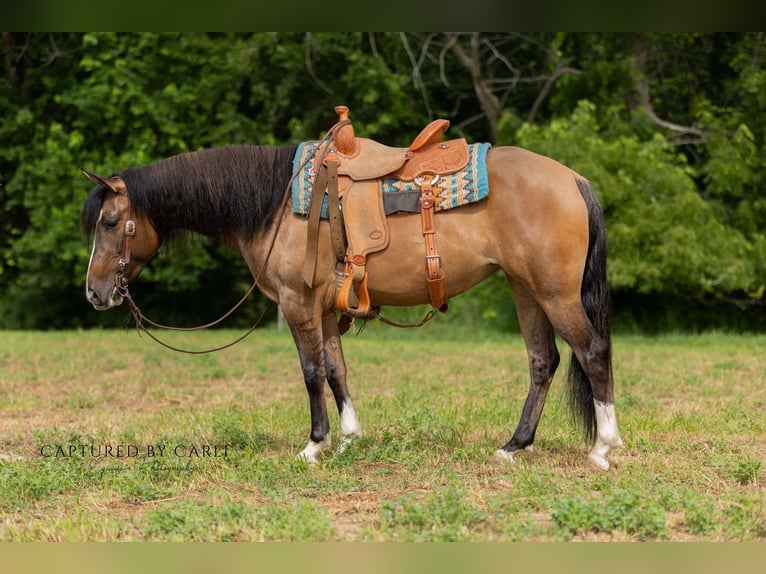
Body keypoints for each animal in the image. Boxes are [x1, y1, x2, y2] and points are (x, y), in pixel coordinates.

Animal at [80, 138, 624, 471]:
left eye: (110, 222)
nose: (94, 293)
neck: (275, 205)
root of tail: (573, 178)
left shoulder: (298, 304)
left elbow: (311, 373)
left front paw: (314, 444)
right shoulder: (323, 310)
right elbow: (336, 370)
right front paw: (348, 437)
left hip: (554, 293)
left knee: (592, 352)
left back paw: (602, 448)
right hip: (524, 288)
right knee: (543, 361)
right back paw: (513, 446)